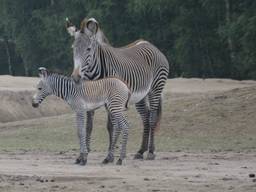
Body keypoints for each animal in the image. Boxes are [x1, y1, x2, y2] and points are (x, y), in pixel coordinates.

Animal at [66, 18, 170, 160]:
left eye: (88, 49)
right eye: (73, 49)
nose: (76, 77)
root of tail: (151, 45)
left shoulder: (111, 98)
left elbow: (111, 125)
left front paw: (110, 154)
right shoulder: (88, 98)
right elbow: (89, 126)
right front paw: (85, 153)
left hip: (156, 88)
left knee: (152, 117)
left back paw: (150, 152)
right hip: (141, 96)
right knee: (146, 117)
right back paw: (140, 151)